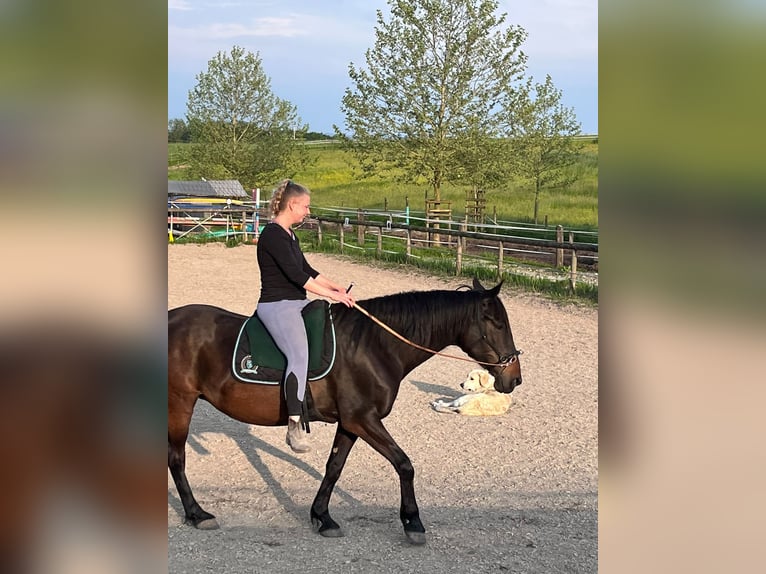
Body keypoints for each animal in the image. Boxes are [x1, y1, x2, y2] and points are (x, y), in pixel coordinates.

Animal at [167, 278, 522, 545]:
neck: (373, 346)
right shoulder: (363, 419)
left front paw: (322, 517)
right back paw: (197, 514)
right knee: (176, 460)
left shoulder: (351, 423)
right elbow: (404, 465)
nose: (515, 378)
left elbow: (334, 467)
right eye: (498, 323)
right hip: (179, 404)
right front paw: (413, 522)